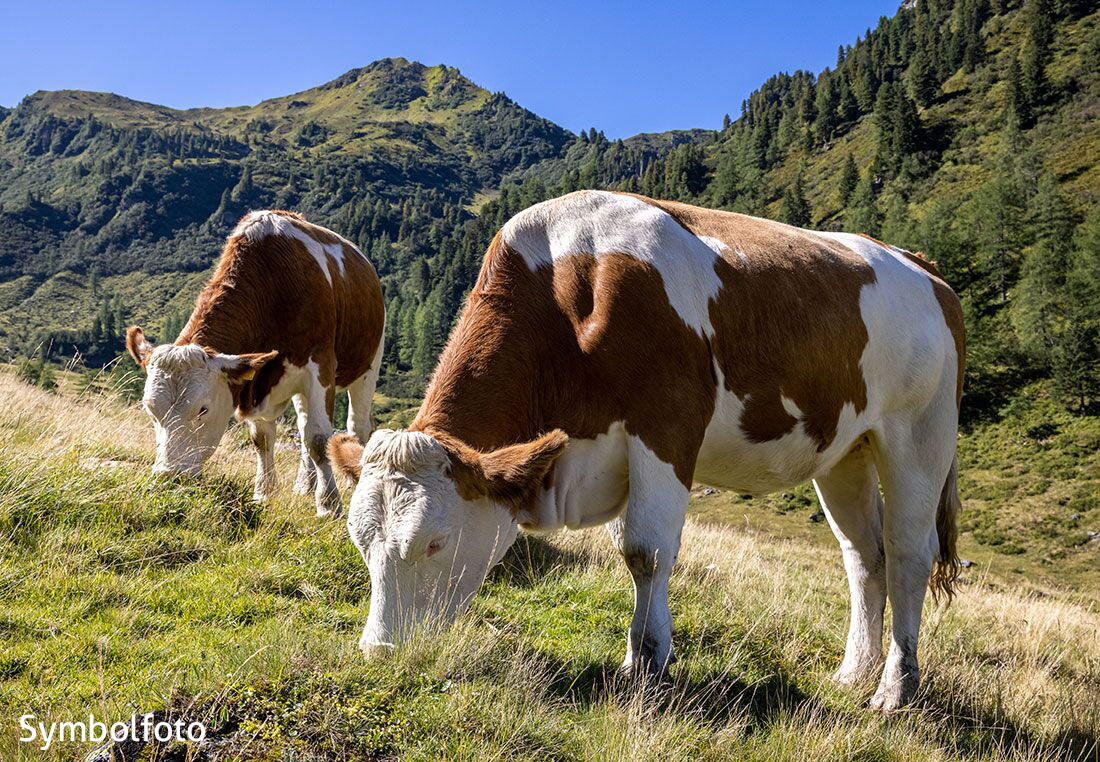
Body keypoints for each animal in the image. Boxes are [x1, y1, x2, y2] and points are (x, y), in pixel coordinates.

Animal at [128, 207, 385, 516]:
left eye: (202, 409)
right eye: (150, 409)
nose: (169, 475)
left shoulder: (320, 366)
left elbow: (319, 439)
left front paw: (329, 504)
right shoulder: (259, 380)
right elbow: (263, 438)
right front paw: (264, 493)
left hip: (368, 366)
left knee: (357, 427)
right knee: (303, 428)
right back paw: (304, 485)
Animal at [327, 189, 963, 708]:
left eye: (434, 542)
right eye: (360, 540)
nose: (379, 651)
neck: (572, 288)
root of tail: (925, 268)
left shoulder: (665, 428)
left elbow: (646, 552)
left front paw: (648, 666)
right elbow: (630, 552)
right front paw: (646, 658)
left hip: (920, 435)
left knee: (908, 554)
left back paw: (894, 690)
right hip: (845, 452)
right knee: (863, 556)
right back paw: (853, 674)